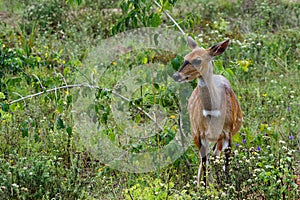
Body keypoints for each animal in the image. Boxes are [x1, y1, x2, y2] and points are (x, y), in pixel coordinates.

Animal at [172, 36, 243, 186]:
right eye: (185, 58)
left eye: (198, 60)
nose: (176, 75)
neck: (213, 112)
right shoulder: (199, 134)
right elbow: (205, 162)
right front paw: (205, 188)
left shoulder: (227, 133)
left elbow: (226, 162)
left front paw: (226, 185)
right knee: (205, 160)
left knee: (215, 157)